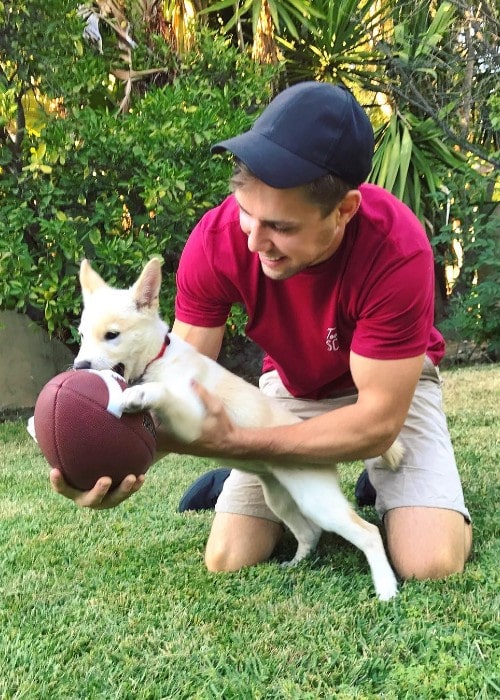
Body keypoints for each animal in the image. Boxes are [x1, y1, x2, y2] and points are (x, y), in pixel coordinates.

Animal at [74, 260, 402, 600]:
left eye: (112, 335)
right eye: (82, 335)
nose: (79, 368)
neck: (157, 359)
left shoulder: (195, 417)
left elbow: (163, 392)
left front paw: (138, 394)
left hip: (317, 498)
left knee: (368, 533)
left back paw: (387, 588)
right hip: (281, 497)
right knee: (309, 532)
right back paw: (296, 564)